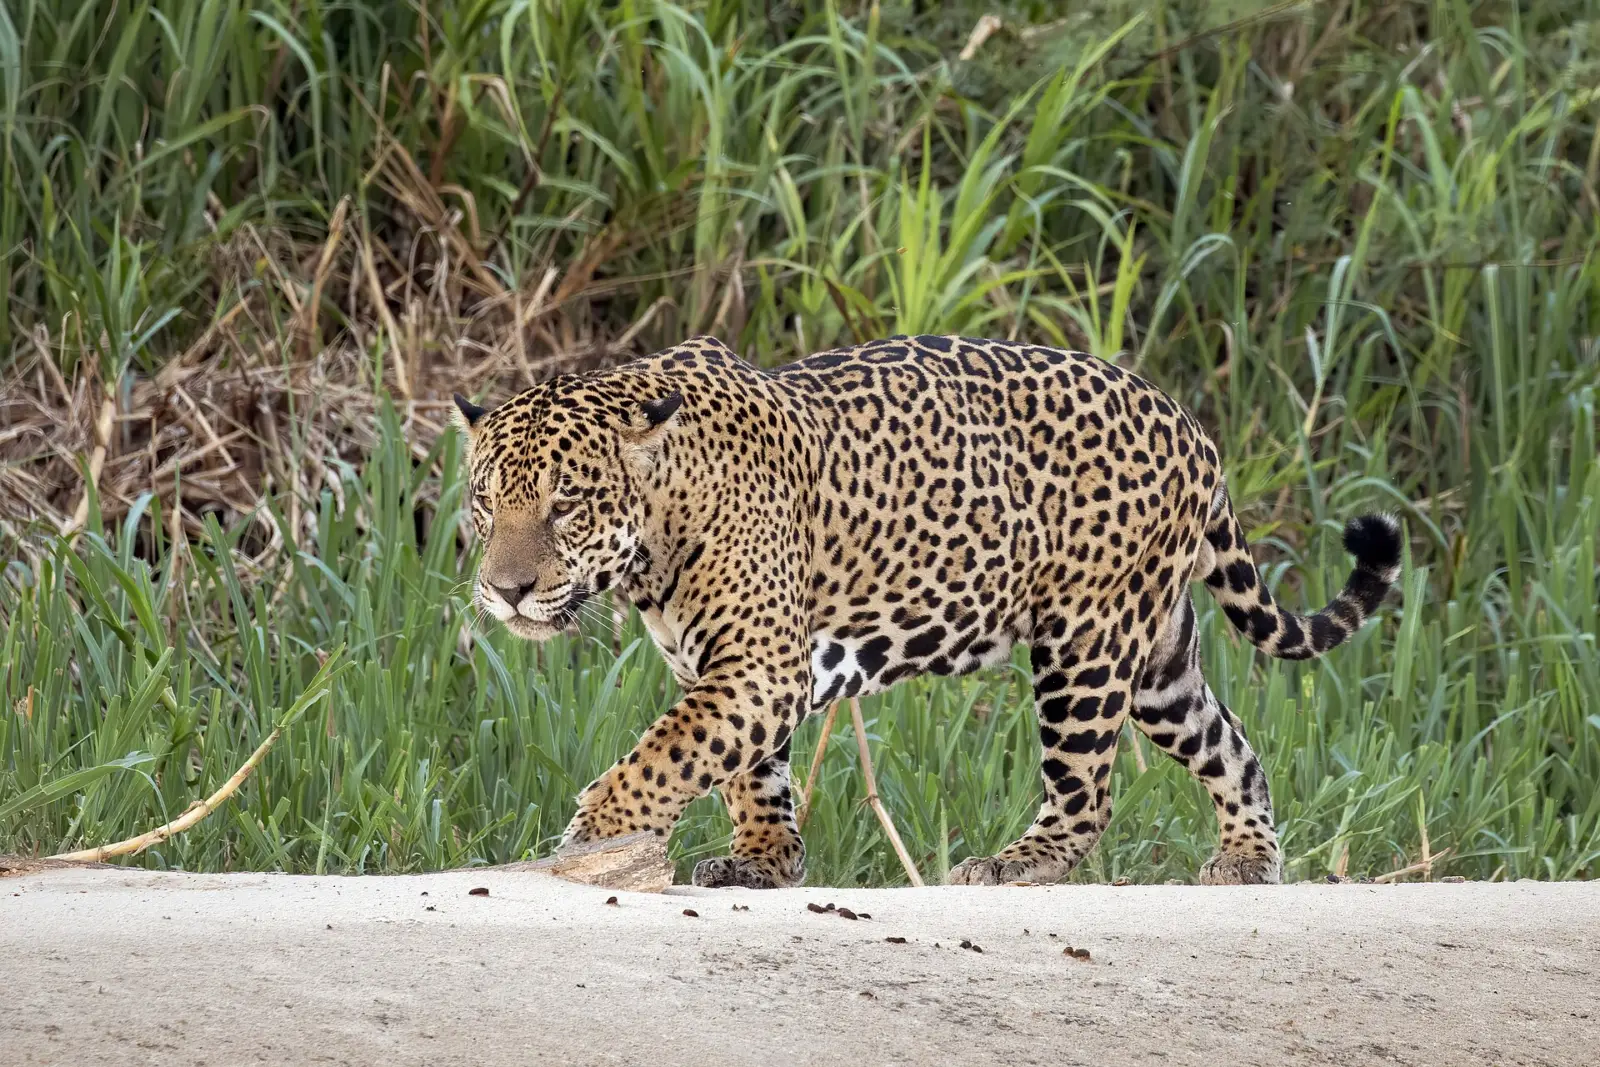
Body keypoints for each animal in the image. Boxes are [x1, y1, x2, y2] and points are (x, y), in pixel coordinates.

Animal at [453, 334, 1401, 889]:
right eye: (486, 500)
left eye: (566, 506)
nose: (505, 590)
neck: (656, 532)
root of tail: (1191, 426)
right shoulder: (724, 669)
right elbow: (743, 768)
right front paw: (765, 859)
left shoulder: (760, 668)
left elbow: (664, 754)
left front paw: (591, 834)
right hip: (1159, 657)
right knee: (1233, 747)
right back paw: (1247, 858)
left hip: (1086, 644)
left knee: (1085, 792)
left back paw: (1015, 864)